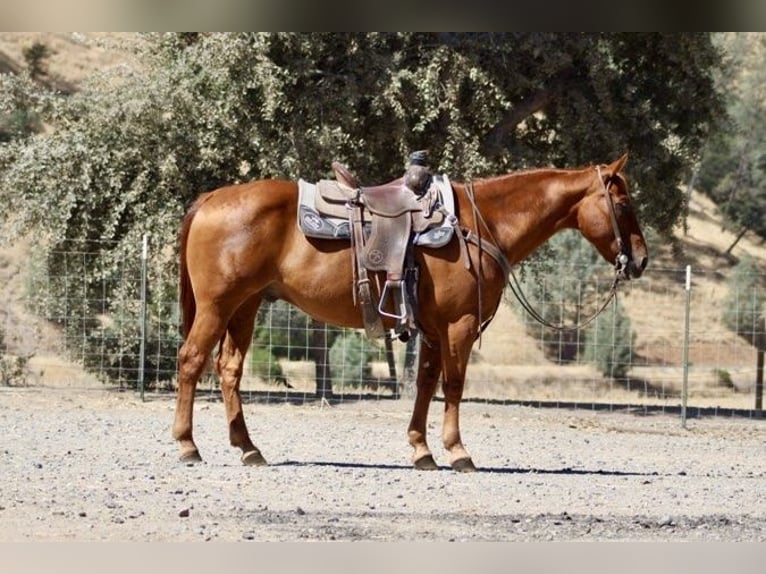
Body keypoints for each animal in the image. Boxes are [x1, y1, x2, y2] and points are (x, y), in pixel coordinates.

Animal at [173, 153, 648, 472]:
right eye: (624, 205)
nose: (640, 260)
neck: (482, 223)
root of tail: (210, 199)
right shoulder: (460, 326)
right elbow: (453, 385)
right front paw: (458, 451)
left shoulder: (433, 330)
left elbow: (425, 384)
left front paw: (422, 450)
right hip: (218, 306)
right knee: (191, 361)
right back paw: (187, 446)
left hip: (245, 307)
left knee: (229, 369)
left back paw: (248, 448)